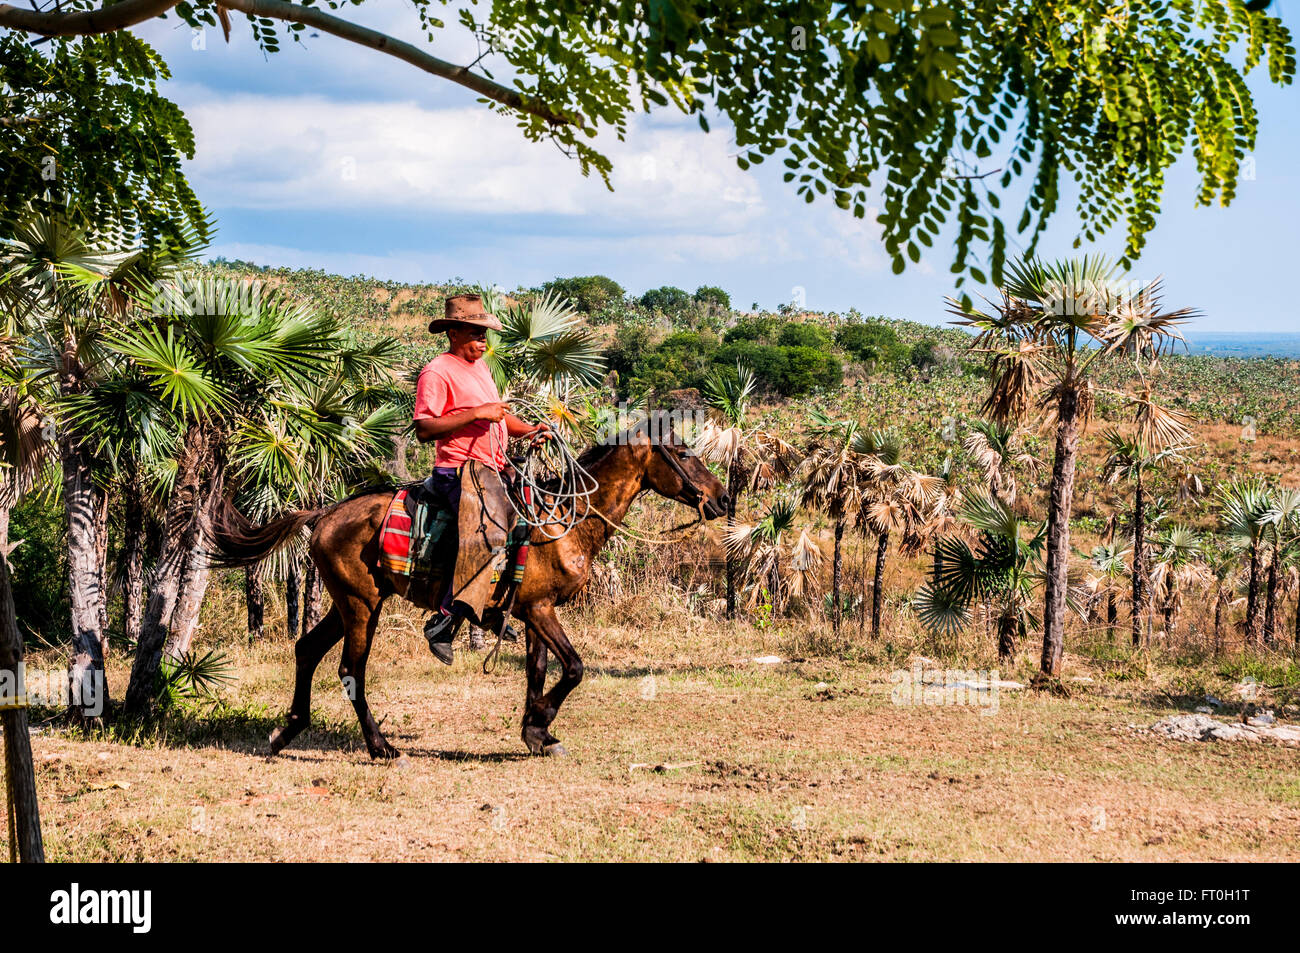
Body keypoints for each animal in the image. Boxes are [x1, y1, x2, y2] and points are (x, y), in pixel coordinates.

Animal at [208, 421, 728, 764]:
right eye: (684, 453)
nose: (724, 499)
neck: (562, 520)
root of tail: (324, 513)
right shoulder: (541, 610)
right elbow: (575, 668)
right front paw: (541, 725)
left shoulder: (532, 610)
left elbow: (539, 670)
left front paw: (536, 731)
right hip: (361, 605)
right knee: (349, 669)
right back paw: (381, 748)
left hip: (346, 602)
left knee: (307, 650)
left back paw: (286, 733)